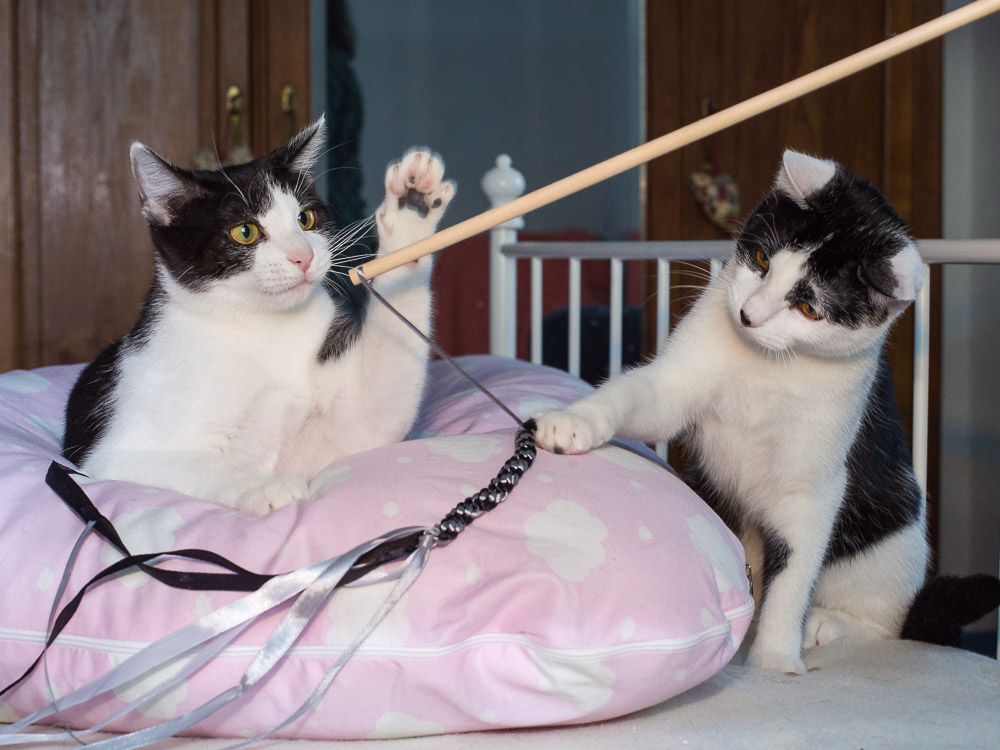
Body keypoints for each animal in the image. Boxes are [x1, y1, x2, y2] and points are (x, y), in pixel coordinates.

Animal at [62, 119, 454, 516]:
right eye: (245, 232)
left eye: (305, 219)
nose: (303, 257)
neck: (259, 326)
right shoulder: (115, 454)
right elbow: (200, 465)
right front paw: (267, 487)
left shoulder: (343, 430)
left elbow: (376, 411)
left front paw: (412, 210)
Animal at [536, 150, 932, 672]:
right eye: (762, 260)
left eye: (809, 307)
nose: (749, 315)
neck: (767, 366)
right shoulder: (677, 382)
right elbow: (637, 397)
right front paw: (575, 420)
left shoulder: (813, 482)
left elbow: (794, 574)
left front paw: (776, 661)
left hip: (896, 535)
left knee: (887, 624)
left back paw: (826, 625)